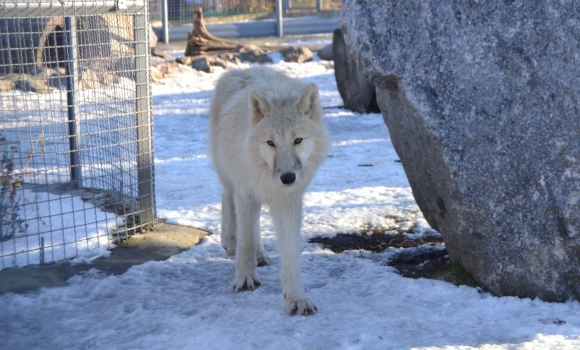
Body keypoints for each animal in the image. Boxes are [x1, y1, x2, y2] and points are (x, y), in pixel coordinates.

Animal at [211, 65, 330, 314]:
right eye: (270, 143)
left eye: (298, 140)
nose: (287, 177)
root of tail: (243, 69)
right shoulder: (245, 192)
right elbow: (245, 241)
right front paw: (245, 278)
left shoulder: (288, 201)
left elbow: (290, 255)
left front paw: (296, 298)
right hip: (229, 173)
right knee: (227, 196)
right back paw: (230, 241)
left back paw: (260, 254)